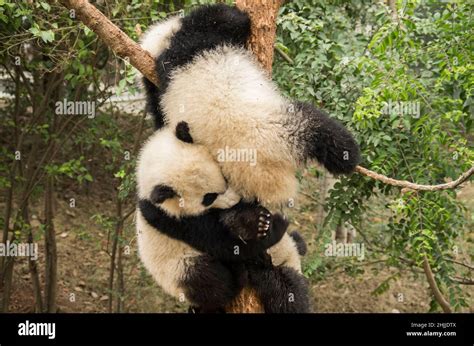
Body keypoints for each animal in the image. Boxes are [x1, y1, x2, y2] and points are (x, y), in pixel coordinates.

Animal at [135, 123, 312, 312]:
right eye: (209, 198)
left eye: (225, 177)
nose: (234, 199)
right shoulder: (170, 218)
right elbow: (222, 242)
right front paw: (269, 227)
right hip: (178, 269)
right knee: (211, 282)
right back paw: (239, 274)